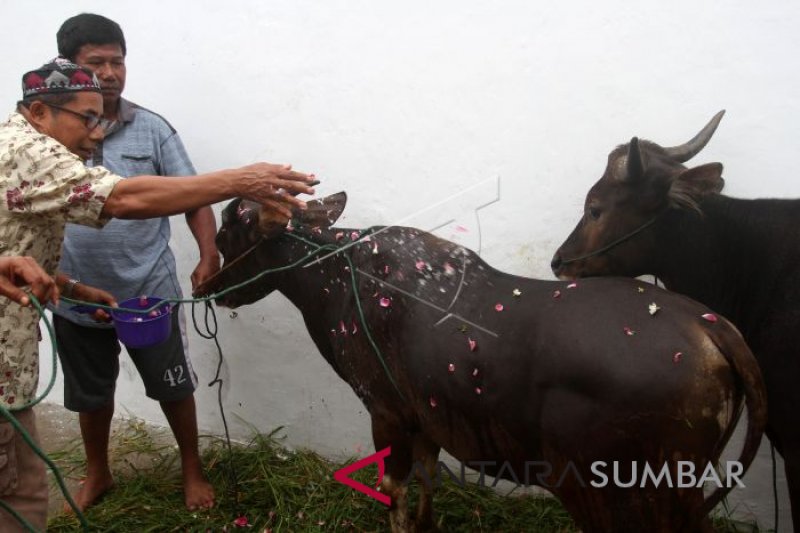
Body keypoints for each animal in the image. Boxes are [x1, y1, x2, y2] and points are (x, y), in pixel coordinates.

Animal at [197, 193, 764, 528]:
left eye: (226, 233)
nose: (205, 287)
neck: (333, 281)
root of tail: (715, 330)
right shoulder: (426, 415)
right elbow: (428, 477)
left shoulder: (387, 411)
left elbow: (394, 489)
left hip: (622, 492)